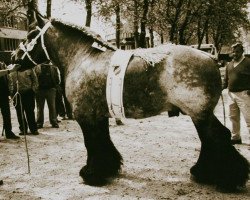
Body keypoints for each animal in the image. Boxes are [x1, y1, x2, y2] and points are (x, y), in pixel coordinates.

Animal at [12, 11, 249, 192]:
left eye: (31, 34)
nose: (14, 58)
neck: (83, 59)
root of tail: (211, 58)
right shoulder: (98, 115)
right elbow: (103, 141)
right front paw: (108, 169)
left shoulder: (85, 116)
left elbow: (92, 144)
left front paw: (91, 174)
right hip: (200, 114)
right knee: (211, 140)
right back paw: (204, 173)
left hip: (199, 113)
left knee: (217, 137)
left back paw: (227, 179)